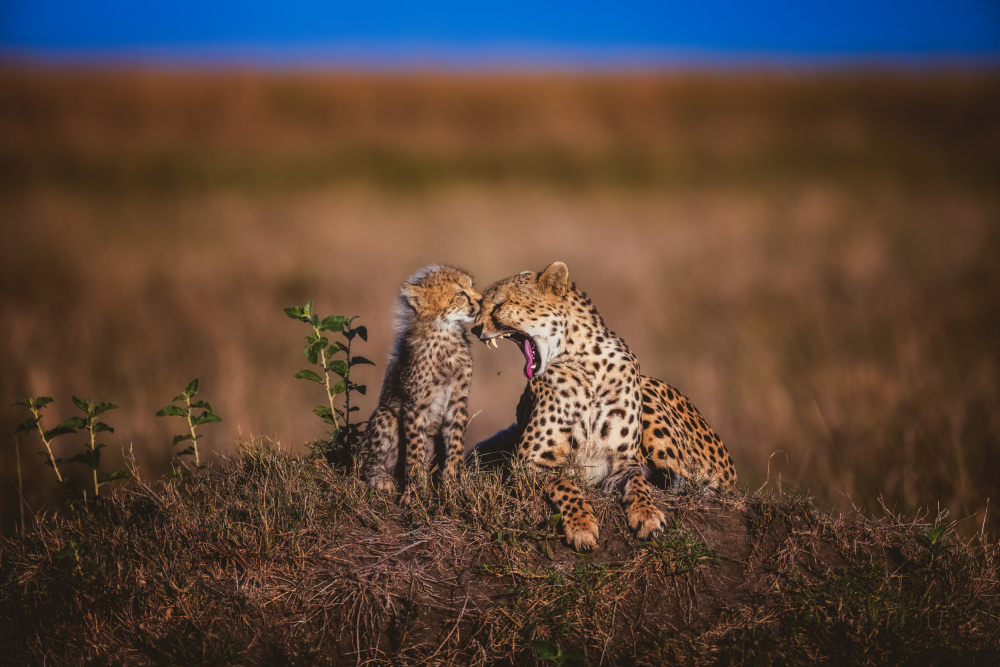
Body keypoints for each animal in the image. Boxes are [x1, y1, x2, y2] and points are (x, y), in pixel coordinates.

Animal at [359, 265, 482, 506]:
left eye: (471, 286)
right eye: (460, 293)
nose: (481, 301)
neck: (444, 334)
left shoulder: (458, 401)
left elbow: (455, 444)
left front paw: (452, 486)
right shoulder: (414, 406)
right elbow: (415, 452)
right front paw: (414, 493)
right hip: (386, 415)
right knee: (369, 461)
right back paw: (381, 479)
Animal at [471, 261, 737, 550]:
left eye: (499, 304)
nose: (475, 329)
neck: (585, 363)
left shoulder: (626, 461)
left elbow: (638, 482)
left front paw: (647, 514)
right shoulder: (525, 465)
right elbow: (563, 481)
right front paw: (581, 525)